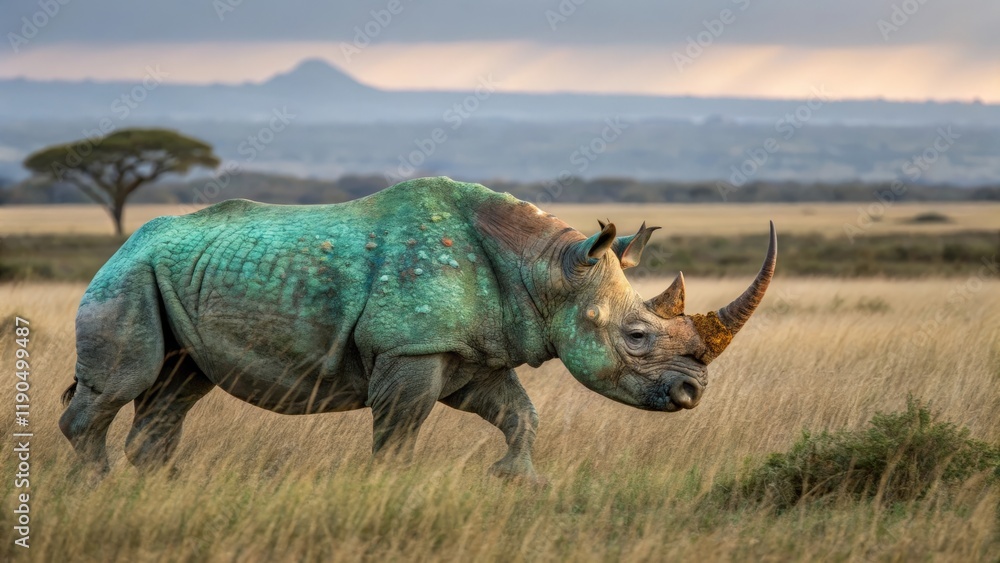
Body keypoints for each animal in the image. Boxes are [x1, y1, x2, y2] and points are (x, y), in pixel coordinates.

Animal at [59, 176, 776, 478]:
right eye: (636, 338)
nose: (692, 395)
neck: (544, 270)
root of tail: (122, 245)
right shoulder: (410, 348)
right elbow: (400, 432)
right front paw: (389, 487)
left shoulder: (471, 353)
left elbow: (520, 413)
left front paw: (517, 480)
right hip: (127, 276)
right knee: (123, 383)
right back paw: (97, 486)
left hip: (174, 275)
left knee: (177, 388)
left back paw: (158, 487)